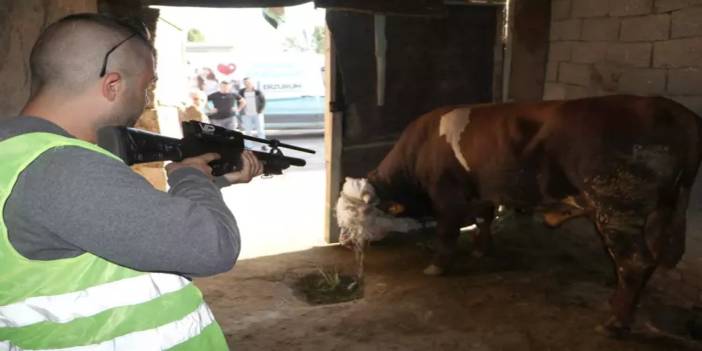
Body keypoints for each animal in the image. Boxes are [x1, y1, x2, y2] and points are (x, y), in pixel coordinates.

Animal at [338, 95, 702, 336]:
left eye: (354, 218)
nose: (343, 242)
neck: (421, 148)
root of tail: (675, 110)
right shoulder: (483, 192)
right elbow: (483, 220)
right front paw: (481, 250)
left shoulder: (447, 195)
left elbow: (447, 232)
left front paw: (437, 267)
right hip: (661, 210)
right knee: (649, 260)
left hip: (617, 208)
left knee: (634, 262)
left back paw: (616, 321)